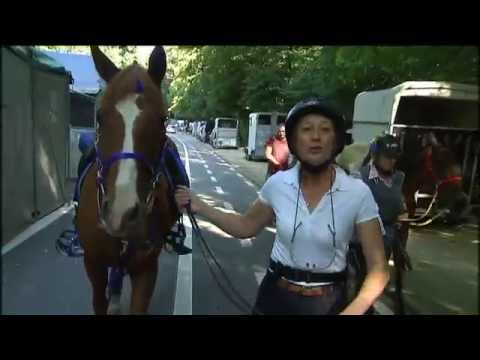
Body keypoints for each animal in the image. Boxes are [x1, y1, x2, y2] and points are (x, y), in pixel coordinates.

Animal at [78, 46, 179, 314]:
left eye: (163, 120)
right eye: (99, 117)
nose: (121, 212)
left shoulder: (147, 268)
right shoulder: (93, 265)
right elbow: (98, 300)